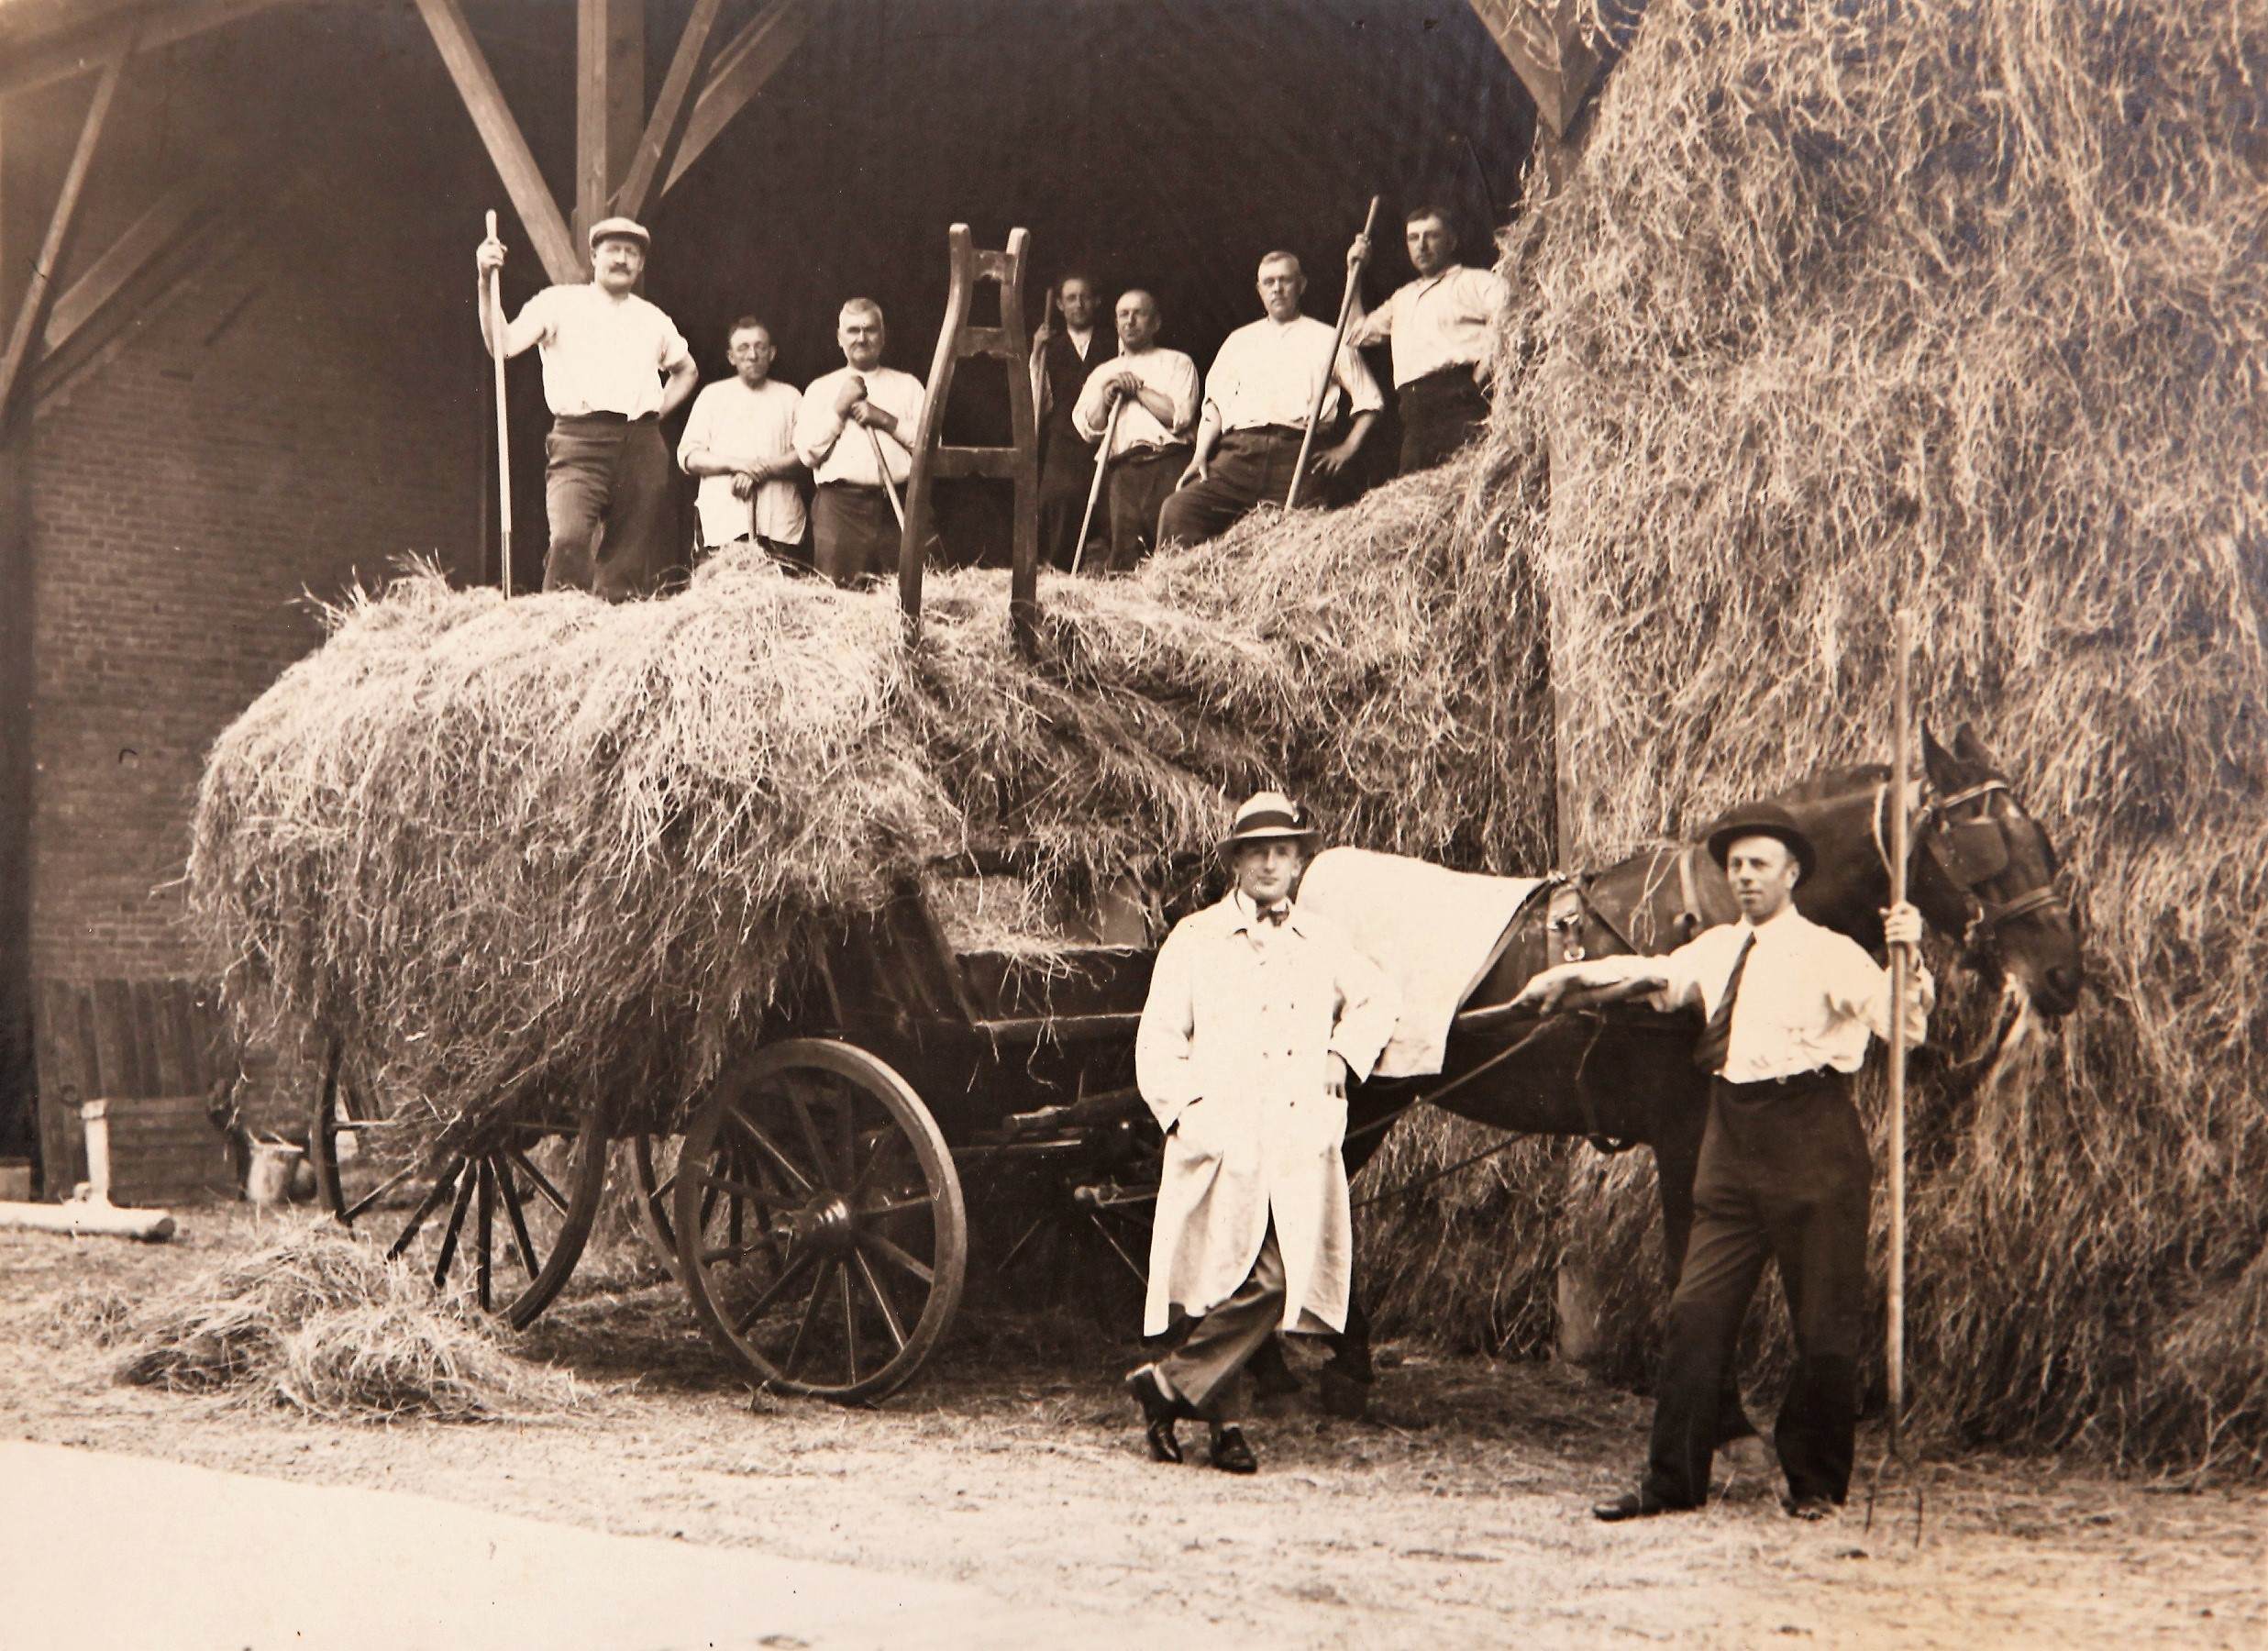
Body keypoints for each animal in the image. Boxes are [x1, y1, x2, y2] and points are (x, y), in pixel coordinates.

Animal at [1312, 724, 2084, 1414]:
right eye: (1984, 848)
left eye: (2042, 843)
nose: (2061, 974)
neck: (1722, 916)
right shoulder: (1683, 1128)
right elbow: (1693, 1260)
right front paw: (1714, 1406)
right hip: (1360, 1099)